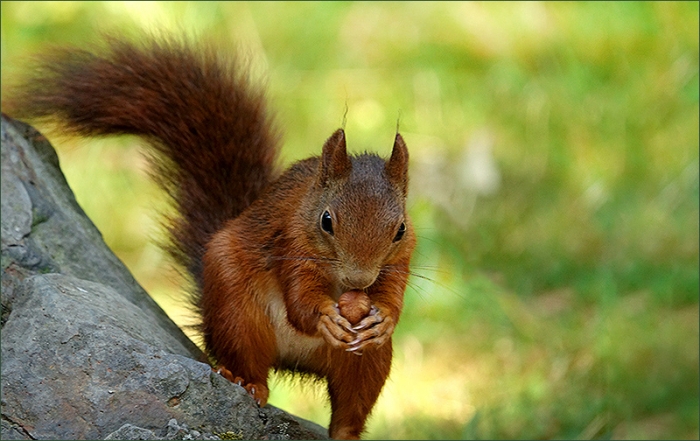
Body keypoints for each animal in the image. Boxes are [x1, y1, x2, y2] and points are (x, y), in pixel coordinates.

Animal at [5, 34, 416, 440]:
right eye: (326, 221)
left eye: (400, 229)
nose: (359, 280)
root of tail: (295, 359)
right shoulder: (290, 243)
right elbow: (300, 303)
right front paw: (325, 316)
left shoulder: (401, 261)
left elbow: (393, 295)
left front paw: (383, 316)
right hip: (236, 312)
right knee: (250, 362)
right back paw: (247, 383)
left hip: (368, 361)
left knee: (351, 406)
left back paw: (346, 430)